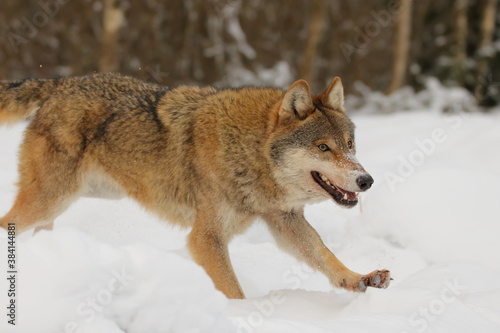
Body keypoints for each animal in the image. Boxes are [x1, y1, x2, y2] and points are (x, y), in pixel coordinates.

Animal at [0, 74, 390, 296]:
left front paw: (359, 279)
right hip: (49, 200)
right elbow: (233, 291)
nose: (366, 180)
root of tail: (60, 83)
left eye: (350, 145)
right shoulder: (205, 238)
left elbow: (324, 254)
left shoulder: (286, 220)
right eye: (323, 148)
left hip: (67, 203)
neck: (250, 152)